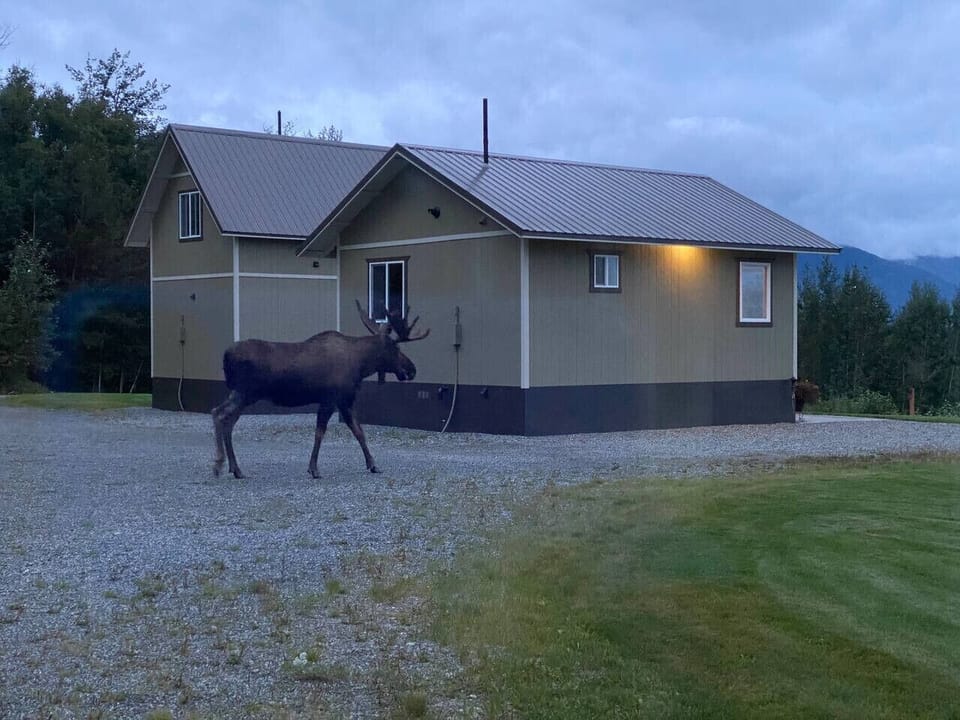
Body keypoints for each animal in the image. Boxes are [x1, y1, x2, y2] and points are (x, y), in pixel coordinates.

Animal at [212, 301, 429, 479]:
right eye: (396, 349)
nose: (412, 370)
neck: (360, 365)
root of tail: (225, 356)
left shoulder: (344, 400)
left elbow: (359, 431)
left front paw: (373, 464)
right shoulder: (330, 398)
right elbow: (320, 432)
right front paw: (314, 469)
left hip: (243, 394)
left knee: (222, 416)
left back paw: (233, 468)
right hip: (244, 392)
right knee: (221, 415)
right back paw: (221, 465)